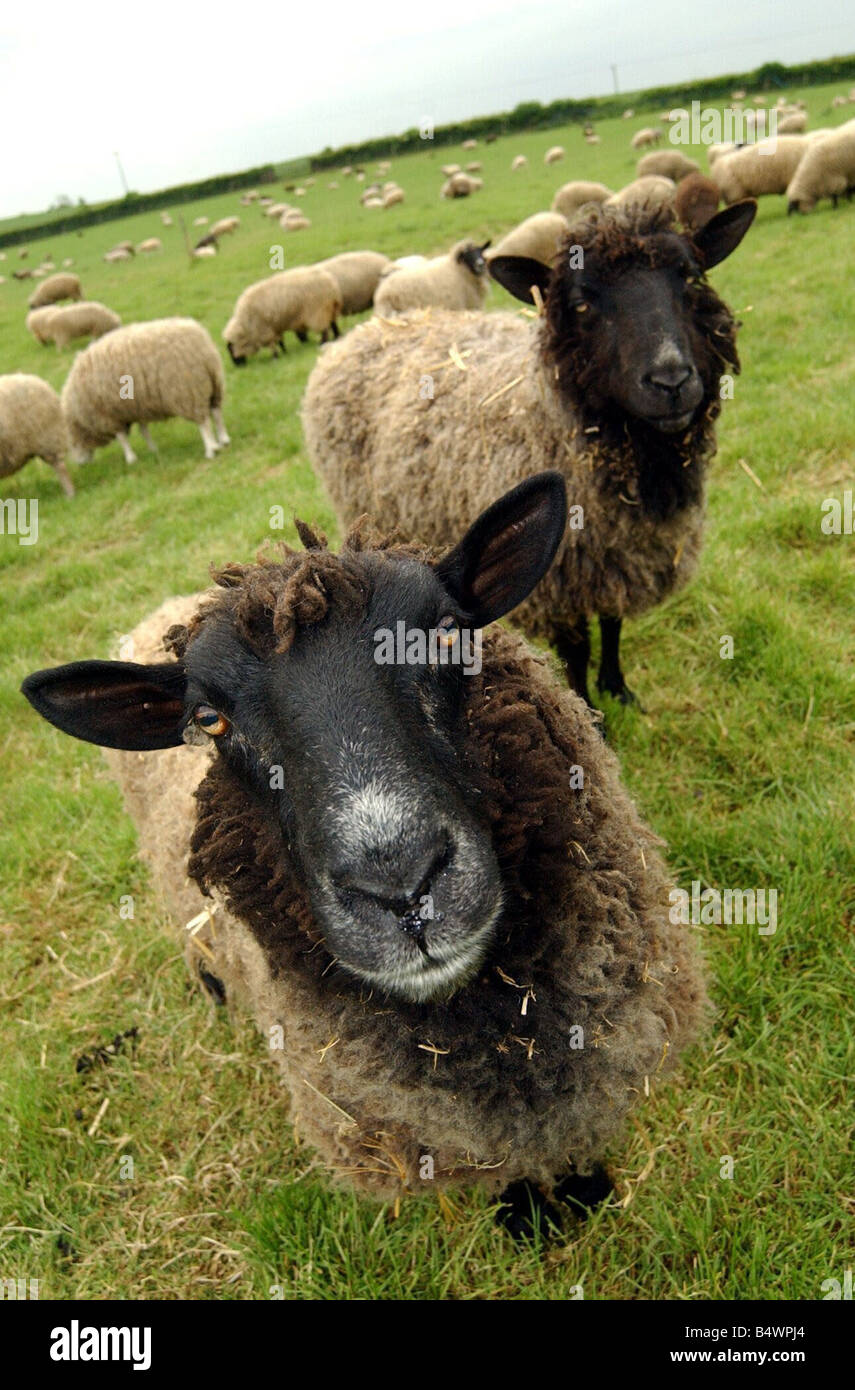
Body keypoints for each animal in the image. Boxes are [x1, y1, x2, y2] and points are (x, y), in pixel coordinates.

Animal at [61, 318, 229, 464]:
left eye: (72, 443)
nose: (80, 464)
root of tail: (202, 347)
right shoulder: (138, 407)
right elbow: (143, 431)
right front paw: (153, 449)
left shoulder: (108, 415)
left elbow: (122, 438)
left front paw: (130, 459)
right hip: (214, 384)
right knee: (216, 413)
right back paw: (224, 439)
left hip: (189, 391)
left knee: (203, 423)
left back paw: (211, 449)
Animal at [303, 198, 756, 706]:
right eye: (580, 304)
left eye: (690, 277)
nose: (671, 381)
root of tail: (358, 334)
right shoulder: (558, 579)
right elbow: (577, 652)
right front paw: (589, 707)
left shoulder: (616, 556)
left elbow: (613, 623)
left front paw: (617, 688)